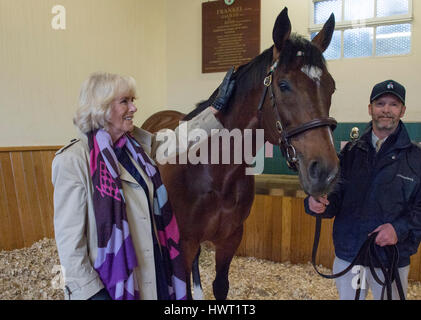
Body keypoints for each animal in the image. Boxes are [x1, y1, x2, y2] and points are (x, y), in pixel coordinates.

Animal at [141, 6, 338, 300]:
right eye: (283, 85)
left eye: (331, 87)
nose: (325, 171)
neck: (212, 170)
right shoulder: (183, 243)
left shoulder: (230, 239)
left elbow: (220, 286)